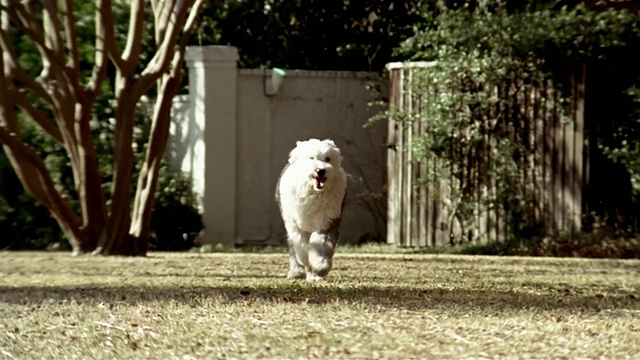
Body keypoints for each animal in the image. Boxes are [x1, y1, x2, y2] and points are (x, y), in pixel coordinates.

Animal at [274, 138, 344, 282]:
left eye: (328, 158)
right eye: (311, 158)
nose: (320, 170)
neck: (315, 192)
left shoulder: (328, 222)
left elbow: (322, 244)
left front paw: (320, 266)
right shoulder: (296, 226)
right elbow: (302, 247)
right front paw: (308, 266)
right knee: (294, 249)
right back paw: (297, 272)